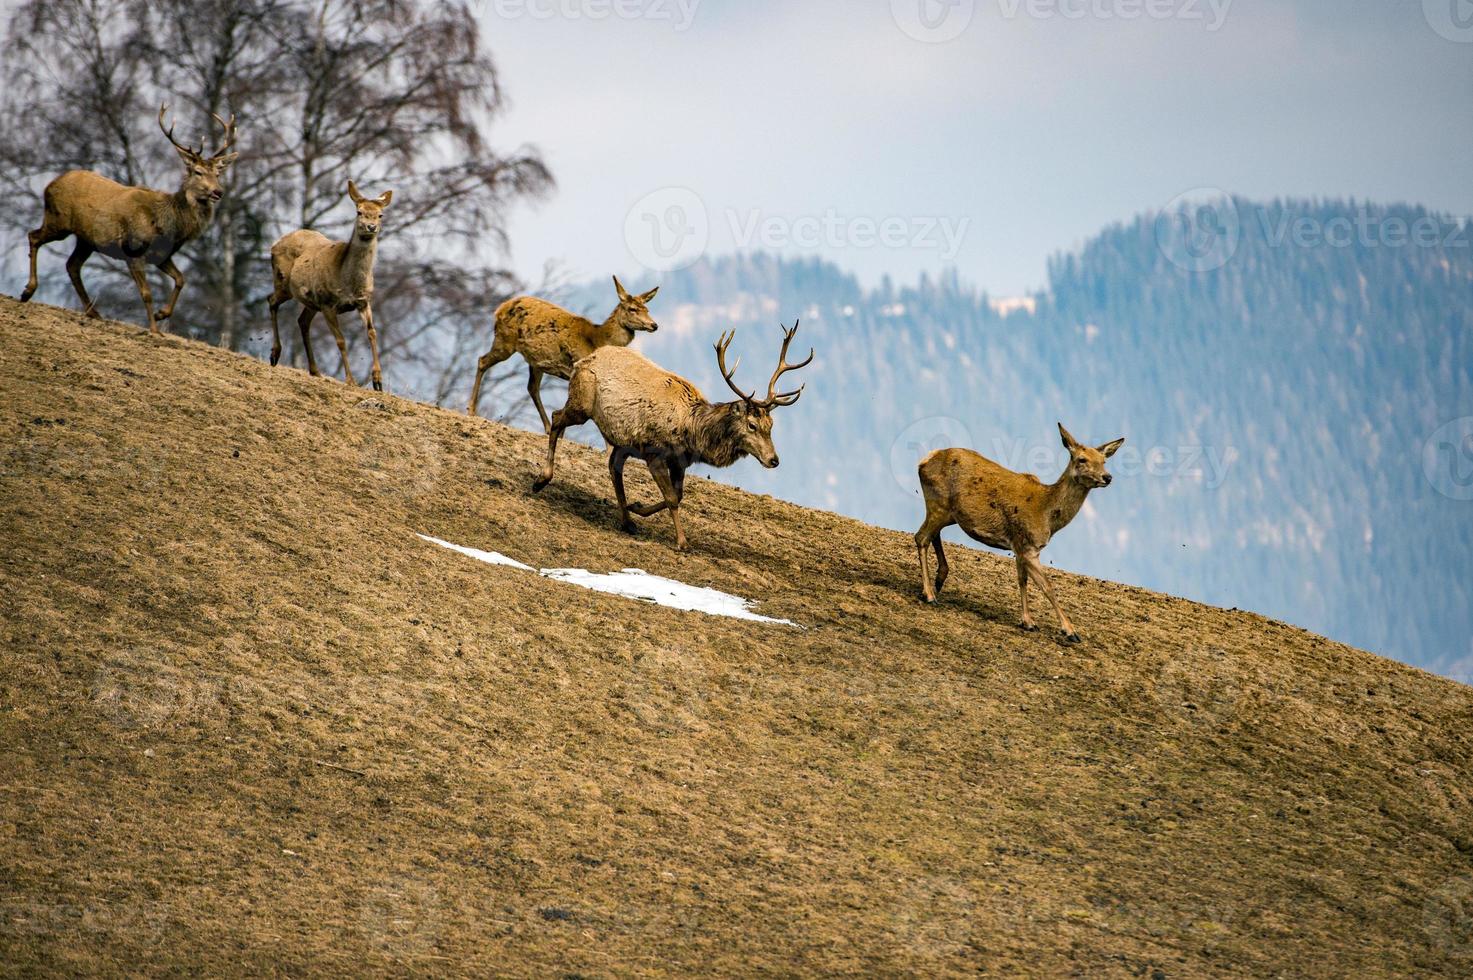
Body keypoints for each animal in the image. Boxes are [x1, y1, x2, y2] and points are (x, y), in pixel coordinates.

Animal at [18, 105, 238, 330]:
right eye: (198, 172)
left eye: (218, 174)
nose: (218, 192)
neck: (168, 223)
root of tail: (49, 184)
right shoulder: (133, 249)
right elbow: (147, 293)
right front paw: (154, 330)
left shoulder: (162, 255)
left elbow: (181, 279)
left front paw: (161, 314)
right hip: (58, 220)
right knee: (34, 236)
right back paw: (28, 291)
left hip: (86, 240)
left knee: (72, 265)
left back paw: (93, 312)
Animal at [265, 177, 391, 392]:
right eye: (359, 211)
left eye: (380, 214)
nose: (371, 226)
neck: (349, 282)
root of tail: (275, 244)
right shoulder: (327, 303)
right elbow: (341, 340)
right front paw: (351, 380)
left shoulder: (364, 301)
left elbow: (372, 332)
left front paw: (377, 380)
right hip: (283, 282)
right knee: (271, 300)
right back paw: (275, 353)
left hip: (310, 300)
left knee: (302, 321)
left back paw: (315, 370)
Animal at [468, 272, 659, 430]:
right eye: (632, 309)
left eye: (647, 309)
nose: (654, 325)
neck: (599, 339)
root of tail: (499, 309)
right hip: (504, 341)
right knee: (482, 361)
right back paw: (471, 410)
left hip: (534, 361)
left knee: (532, 387)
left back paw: (547, 427)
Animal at [530, 321, 813, 551]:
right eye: (752, 425)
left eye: (771, 425)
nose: (774, 460)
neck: (691, 431)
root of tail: (584, 360)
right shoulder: (654, 452)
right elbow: (671, 498)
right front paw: (682, 542)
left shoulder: (680, 461)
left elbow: (678, 495)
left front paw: (637, 507)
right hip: (582, 403)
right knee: (557, 418)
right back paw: (541, 480)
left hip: (621, 440)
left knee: (613, 466)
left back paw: (627, 521)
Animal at [907, 421, 1125, 642]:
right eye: (1082, 459)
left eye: (1104, 461)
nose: (1107, 477)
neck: (1047, 514)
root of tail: (923, 461)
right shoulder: (1029, 546)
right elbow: (1048, 586)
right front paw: (1070, 631)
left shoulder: (1019, 546)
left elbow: (1022, 580)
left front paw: (1028, 621)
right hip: (938, 502)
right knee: (921, 537)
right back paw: (929, 594)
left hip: (948, 512)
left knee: (933, 535)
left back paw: (939, 580)